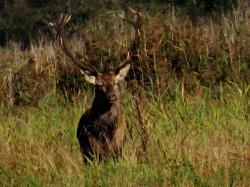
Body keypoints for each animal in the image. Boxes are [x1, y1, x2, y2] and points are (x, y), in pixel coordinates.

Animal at [49, 15, 131, 161]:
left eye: (116, 83)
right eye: (99, 85)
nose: (112, 96)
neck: (106, 135)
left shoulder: (118, 150)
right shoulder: (93, 152)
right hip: (84, 152)